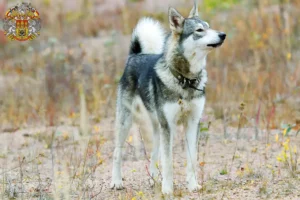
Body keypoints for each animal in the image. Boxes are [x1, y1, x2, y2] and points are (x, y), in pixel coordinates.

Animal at [110, 0, 225, 194]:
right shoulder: (169, 126)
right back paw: (116, 181)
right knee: (117, 153)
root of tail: (135, 55)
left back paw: (154, 179)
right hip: (126, 122)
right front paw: (167, 189)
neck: (185, 80)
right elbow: (168, 161)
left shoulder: (192, 123)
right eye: (199, 30)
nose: (223, 35)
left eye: (209, 26)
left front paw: (192, 185)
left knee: (154, 153)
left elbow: (191, 159)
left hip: (157, 127)